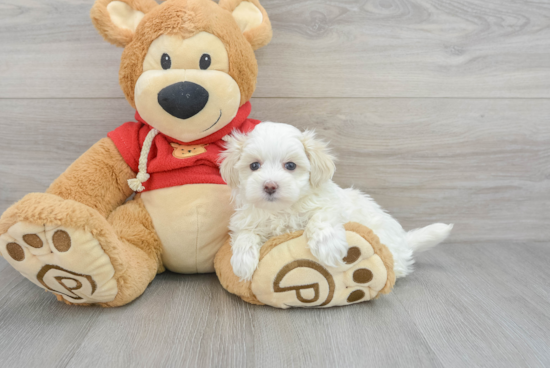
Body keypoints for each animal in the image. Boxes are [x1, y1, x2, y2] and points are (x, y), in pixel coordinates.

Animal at [220, 122, 452, 280]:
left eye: (291, 166)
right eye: (254, 166)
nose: (270, 186)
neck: (282, 210)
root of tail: (404, 243)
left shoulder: (332, 206)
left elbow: (321, 217)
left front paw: (328, 246)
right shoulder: (246, 220)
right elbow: (245, 235)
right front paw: (242, 262)